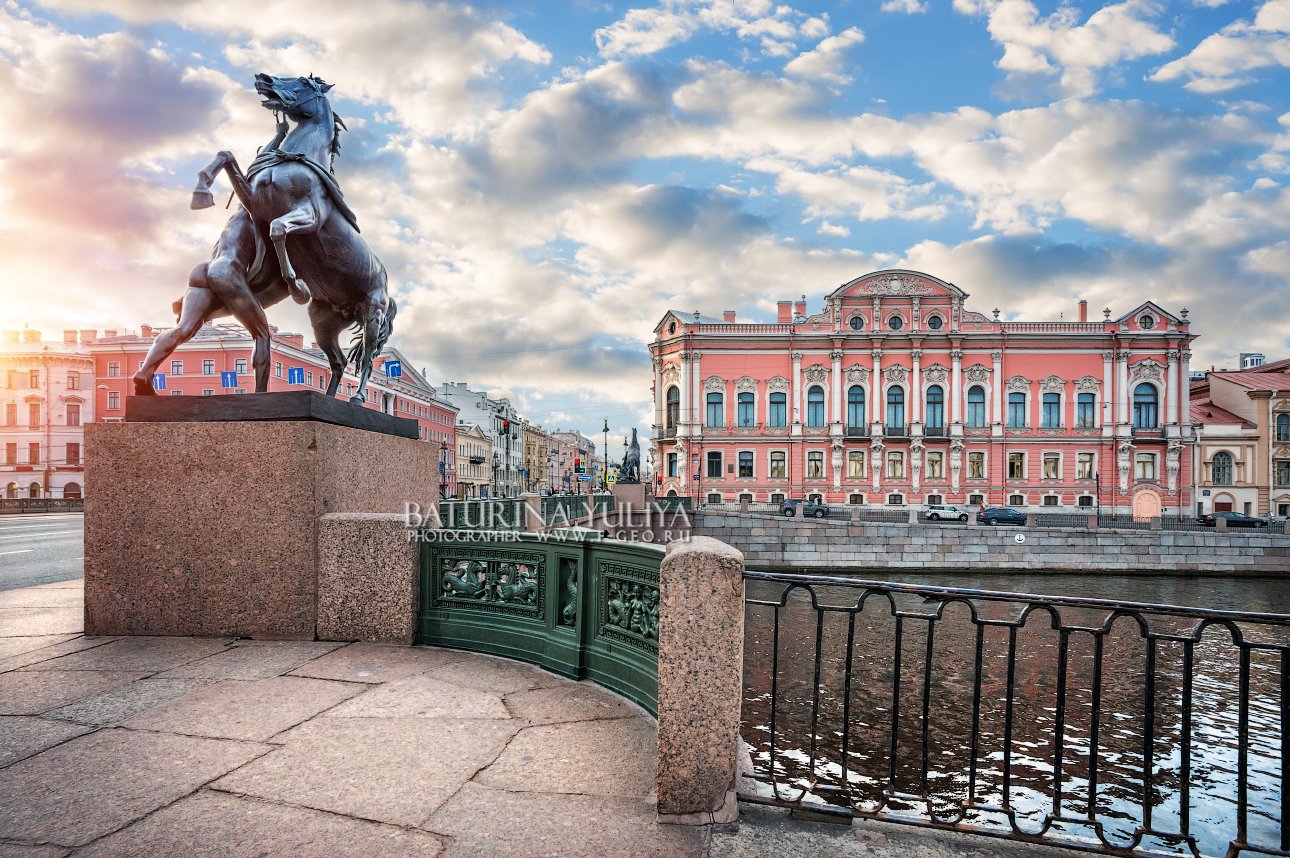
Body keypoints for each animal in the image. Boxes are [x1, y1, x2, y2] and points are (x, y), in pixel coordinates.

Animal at [181, 71, 392, 402]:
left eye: (305, 82)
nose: (263, 78)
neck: (293, 157)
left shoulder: (309, 215)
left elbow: (277, 229)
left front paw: (296, 286)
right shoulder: (254, 200)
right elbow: (226, 155)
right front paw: (201, 193)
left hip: (373, 311)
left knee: (368, 358)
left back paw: (356, 397)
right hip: (324, 321)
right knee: (338, 361)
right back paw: (328, 397)